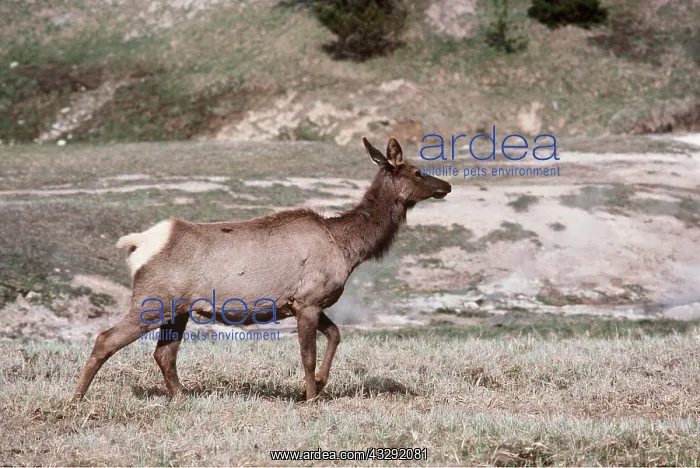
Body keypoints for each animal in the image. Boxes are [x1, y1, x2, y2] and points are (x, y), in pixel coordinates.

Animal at [73, 136, 451, 402]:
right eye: (418, 171)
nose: (446, 185)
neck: (348, 247)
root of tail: (139, 245)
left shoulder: (304, 302)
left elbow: (335, 335)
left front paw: (321, 384)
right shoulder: (308, 300)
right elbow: (308, 355)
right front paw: (310, 398)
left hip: (178, 309)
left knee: (164, 353)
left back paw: (183, 397)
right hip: (152, 300)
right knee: (105, 339)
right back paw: (75, 399)